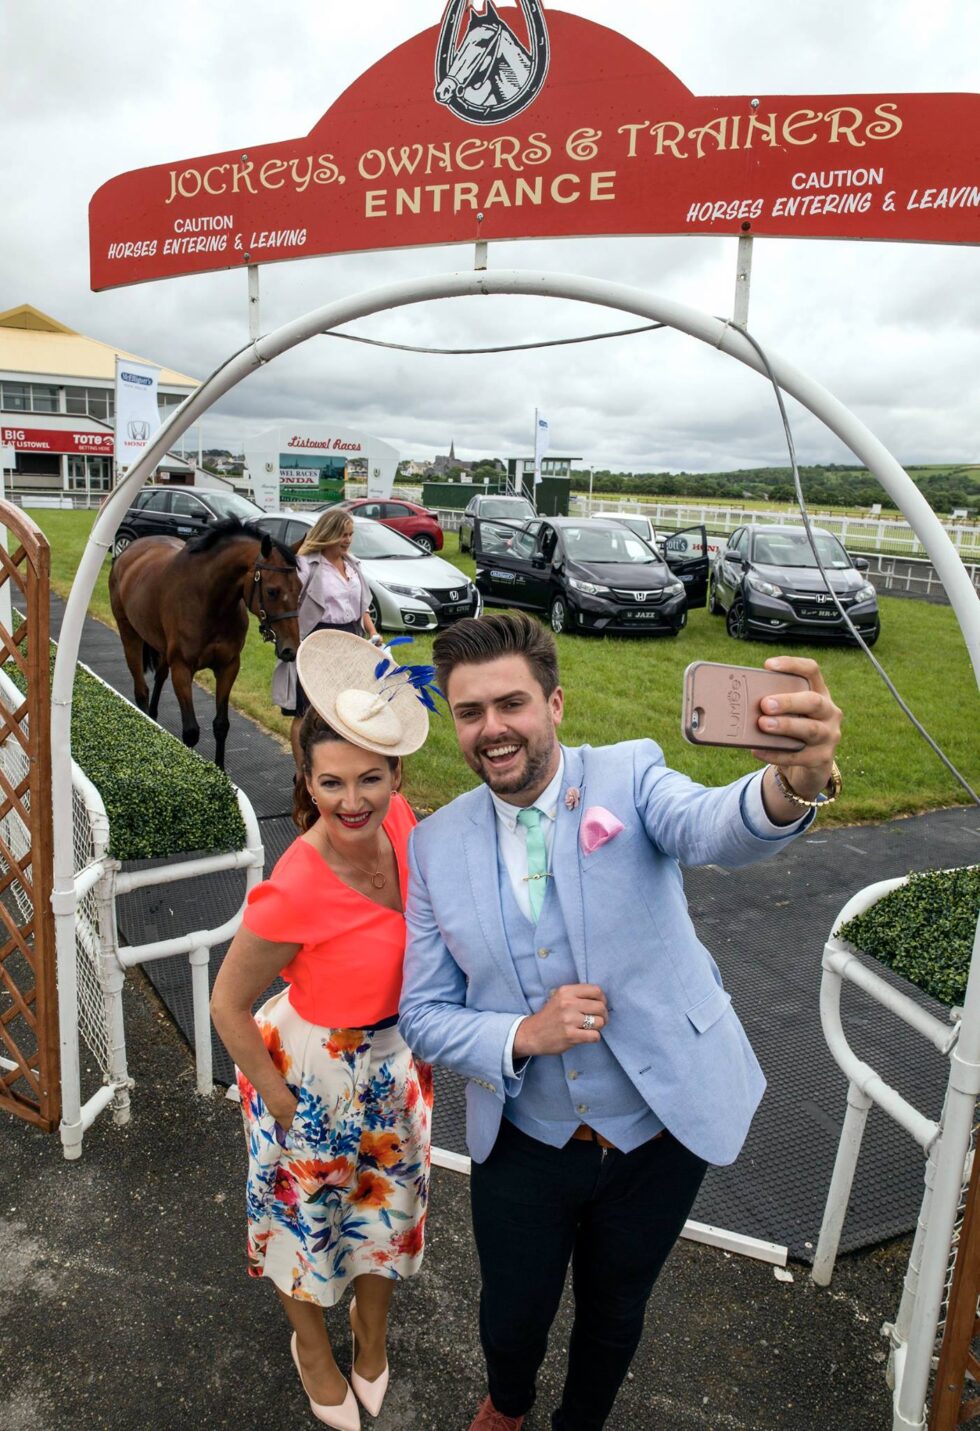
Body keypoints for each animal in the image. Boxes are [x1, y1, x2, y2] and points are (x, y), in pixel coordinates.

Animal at [108, 520, 301, 772]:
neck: (208, 601)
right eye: (272, 591)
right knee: (141, 691)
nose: (291, 649)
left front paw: (220, 770)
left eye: (300, 588)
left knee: (159, 678)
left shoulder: (228, 667)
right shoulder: (182, 668)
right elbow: (191, 731)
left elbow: (221, 725)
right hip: (129, 634)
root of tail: (128, 551)